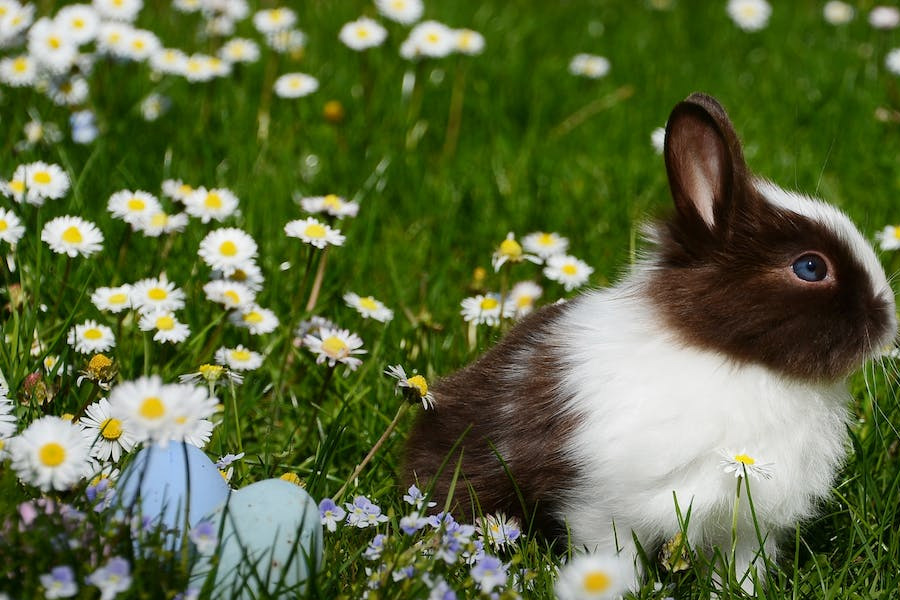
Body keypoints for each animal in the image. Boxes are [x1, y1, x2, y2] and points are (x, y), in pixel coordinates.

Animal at [404, 93, 898, 591]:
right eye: (811, 267)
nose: (888, 319)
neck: (732, 359)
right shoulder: (602, 507)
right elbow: (611, 556)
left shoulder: (746, 524)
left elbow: (741, 567)